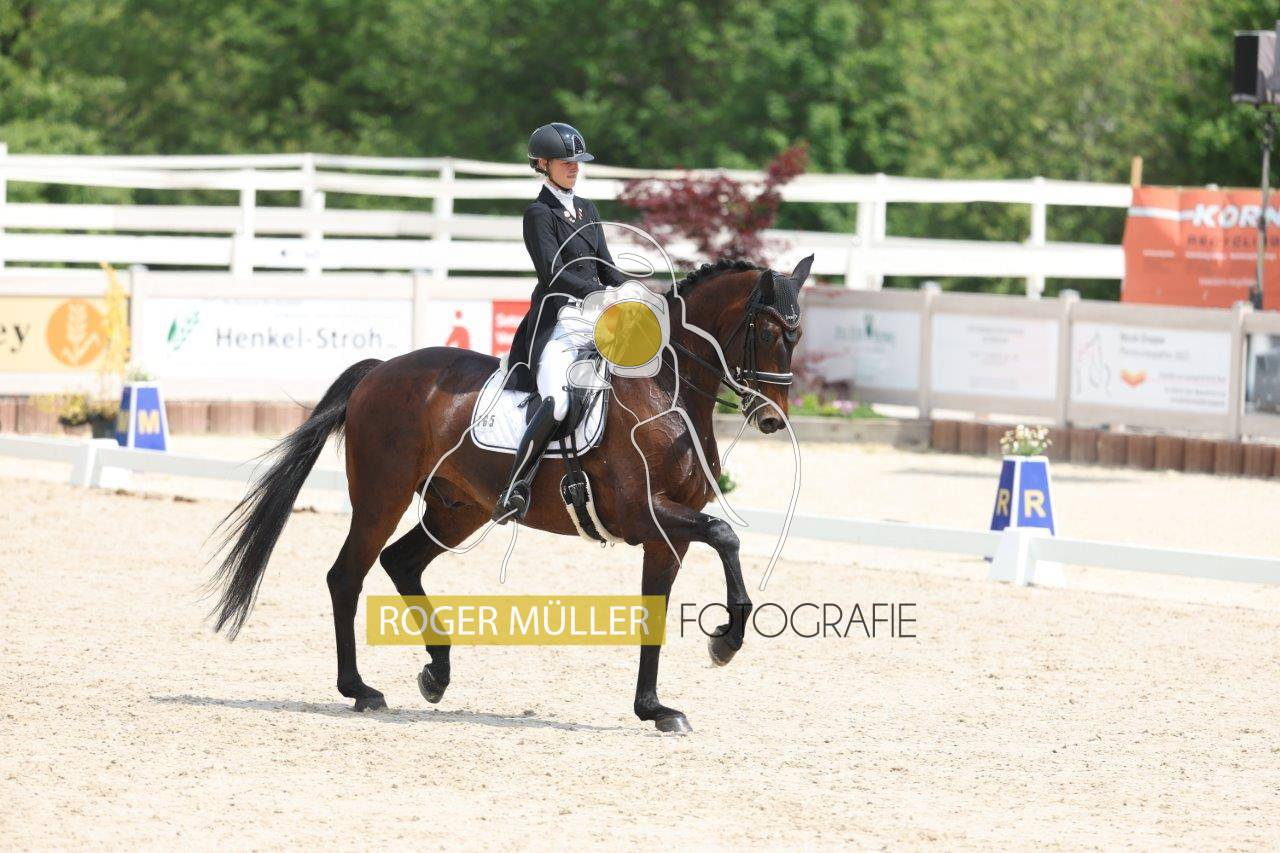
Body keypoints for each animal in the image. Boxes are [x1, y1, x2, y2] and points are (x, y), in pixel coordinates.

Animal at [208, 255, 811, 732]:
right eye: (768, 333)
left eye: (797, 337)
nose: (771, 419)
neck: (668, 390)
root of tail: (380, 371)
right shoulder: (645, 513)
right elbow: (726, 535)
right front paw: (725, 642)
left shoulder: (668, 534)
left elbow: (655, 611)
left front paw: (655, 708)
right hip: (383, 496)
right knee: (347, 575)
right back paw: (360, 689)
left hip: (457, 510)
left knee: (400, 562)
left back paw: (436, 673)